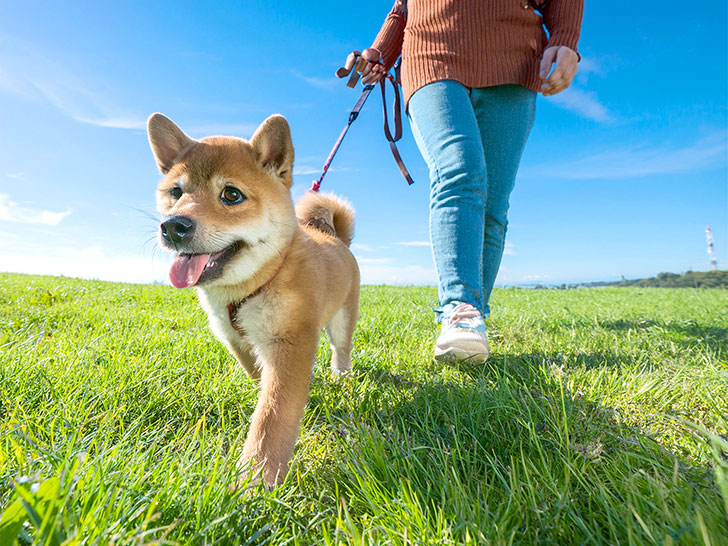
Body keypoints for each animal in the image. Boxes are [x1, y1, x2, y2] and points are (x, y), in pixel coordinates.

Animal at [146, 113, 360, 484]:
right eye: (176, 192)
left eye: (231, 195)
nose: (172, 226)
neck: (253, 285)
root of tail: (338, 240)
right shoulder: (235, 339)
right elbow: (259, 378)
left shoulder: (291, 343)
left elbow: (271, 418)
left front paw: (257, 478)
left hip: (342, 319)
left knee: (341, 350)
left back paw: (340, 377)